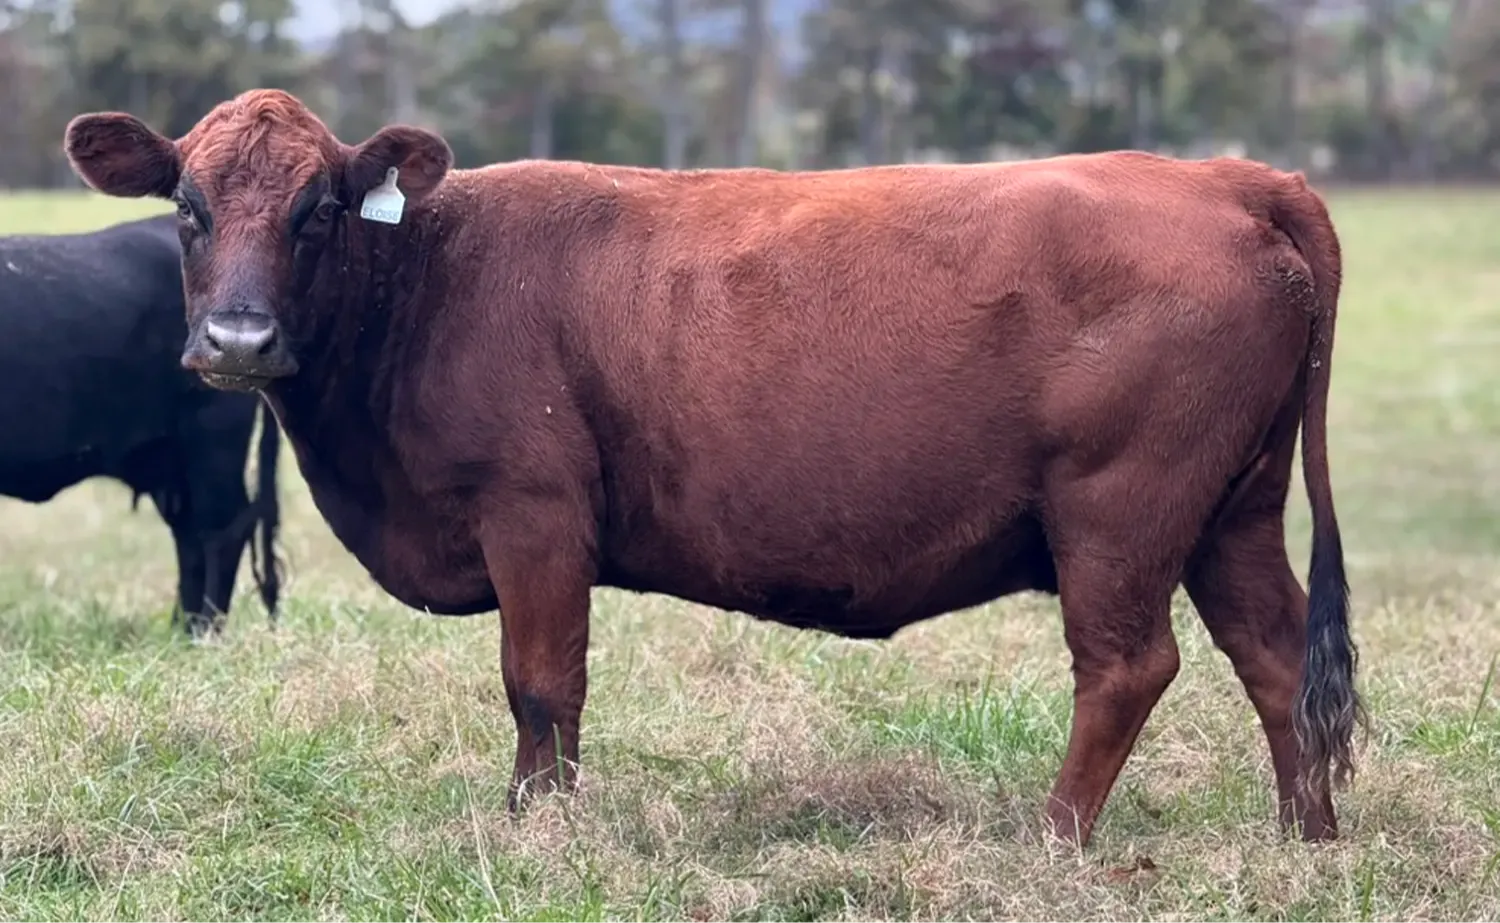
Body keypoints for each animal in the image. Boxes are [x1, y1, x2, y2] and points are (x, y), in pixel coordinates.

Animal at [0, 213, 282, 636]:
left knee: (222, 527)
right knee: (191, 533)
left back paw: (203, 631)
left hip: (212, 441)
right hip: (170, 462)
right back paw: (181, 630)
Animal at [61, 88, 1362, 848]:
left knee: (1128, 666)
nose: (236, 341)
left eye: (321, 208)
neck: (429, 272)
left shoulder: (535, 516)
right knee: (1275, 654)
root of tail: (1224, 174)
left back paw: (1053, 838)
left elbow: (541, 682)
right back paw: (1307, 836)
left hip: (1119, 514)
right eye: (187, 204)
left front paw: (539, 832)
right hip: (1230, 513)